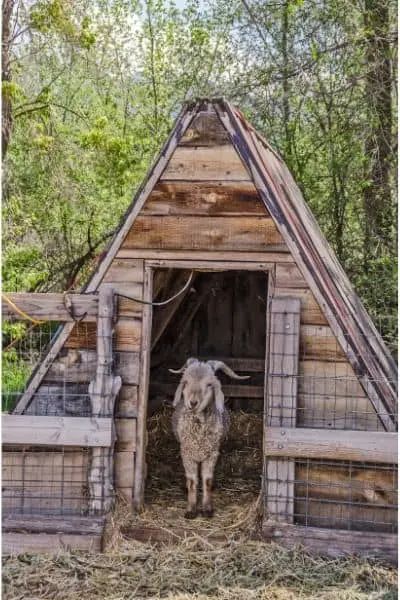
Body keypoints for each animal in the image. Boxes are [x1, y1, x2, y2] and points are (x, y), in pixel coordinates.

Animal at [168, 358, 248, 516]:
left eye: (209, 384)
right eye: (185, 382)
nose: (193, 403)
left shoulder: (212, 454)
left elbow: (207, 481)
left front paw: (207, 508)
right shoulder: (187, 454)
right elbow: (192, 482)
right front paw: (191, 510)